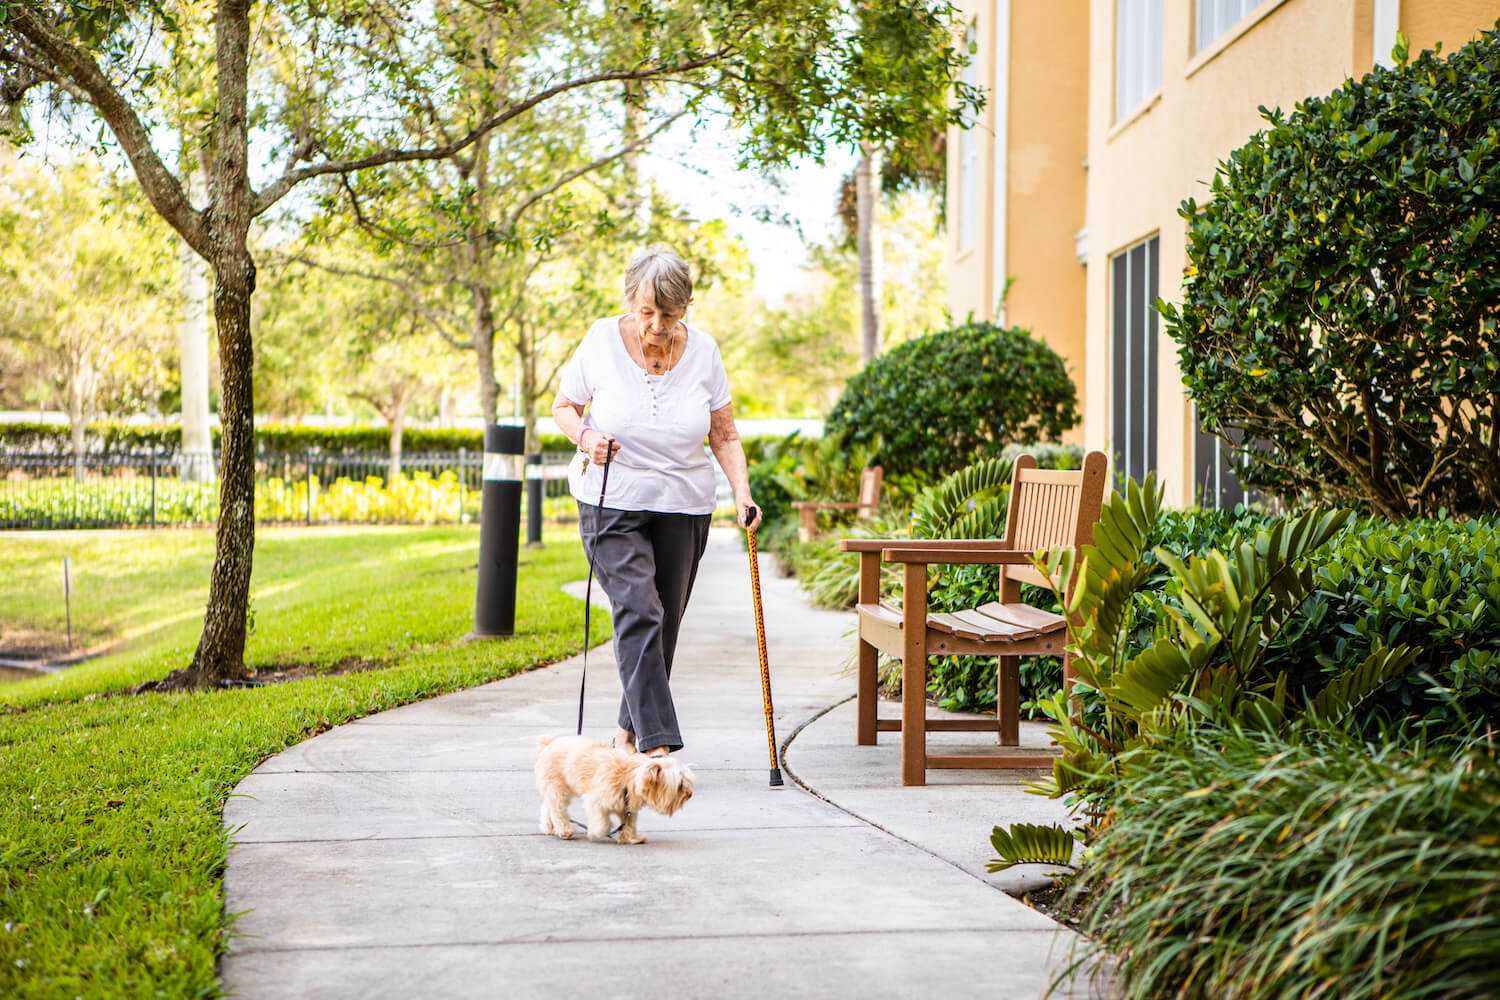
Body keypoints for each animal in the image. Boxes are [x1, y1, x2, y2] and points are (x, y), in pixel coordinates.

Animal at [537, 734, 693, 845]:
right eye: (679, 785)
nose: (690, 794)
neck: (627, 776)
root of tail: (549, 743)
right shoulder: (595, 801)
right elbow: (603, 823)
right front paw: (597, 831)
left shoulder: (627, 807)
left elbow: (629, 823)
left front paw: (631, 838)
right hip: (557, 789)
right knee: (557, 810)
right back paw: (565, 830)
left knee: (547, 806)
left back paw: (549, 827)